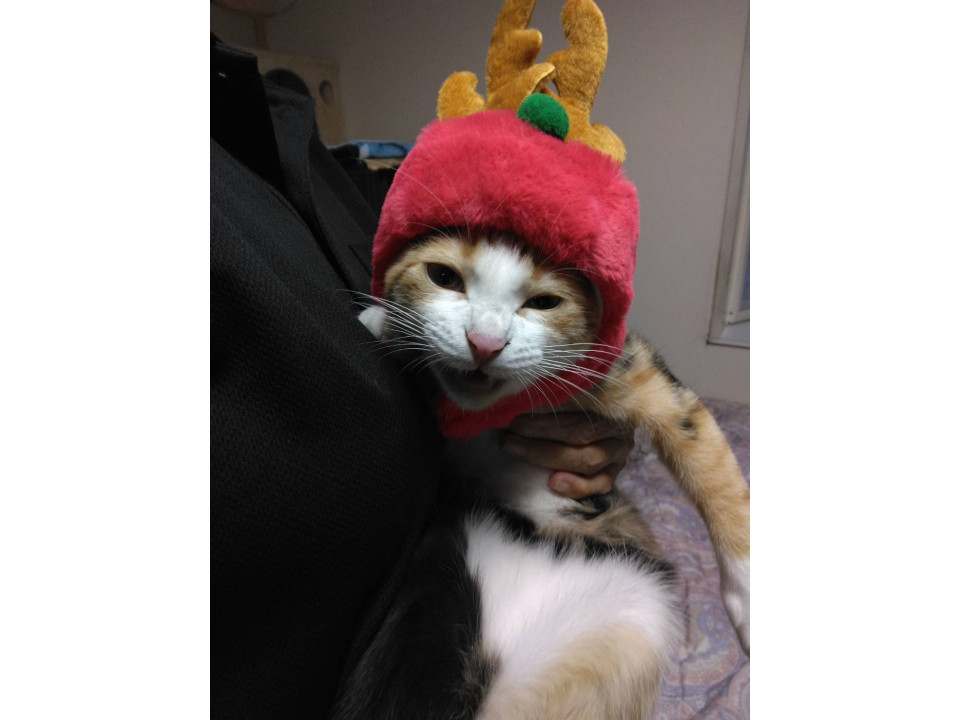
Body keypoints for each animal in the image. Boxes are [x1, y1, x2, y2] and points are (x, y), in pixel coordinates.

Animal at [330, 229, 749, 719]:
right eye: (443, 277)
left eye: (545, 302)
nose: (484, 343)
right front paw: (384, 321)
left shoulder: (621, 365)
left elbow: (704, 450)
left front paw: (747, 597)